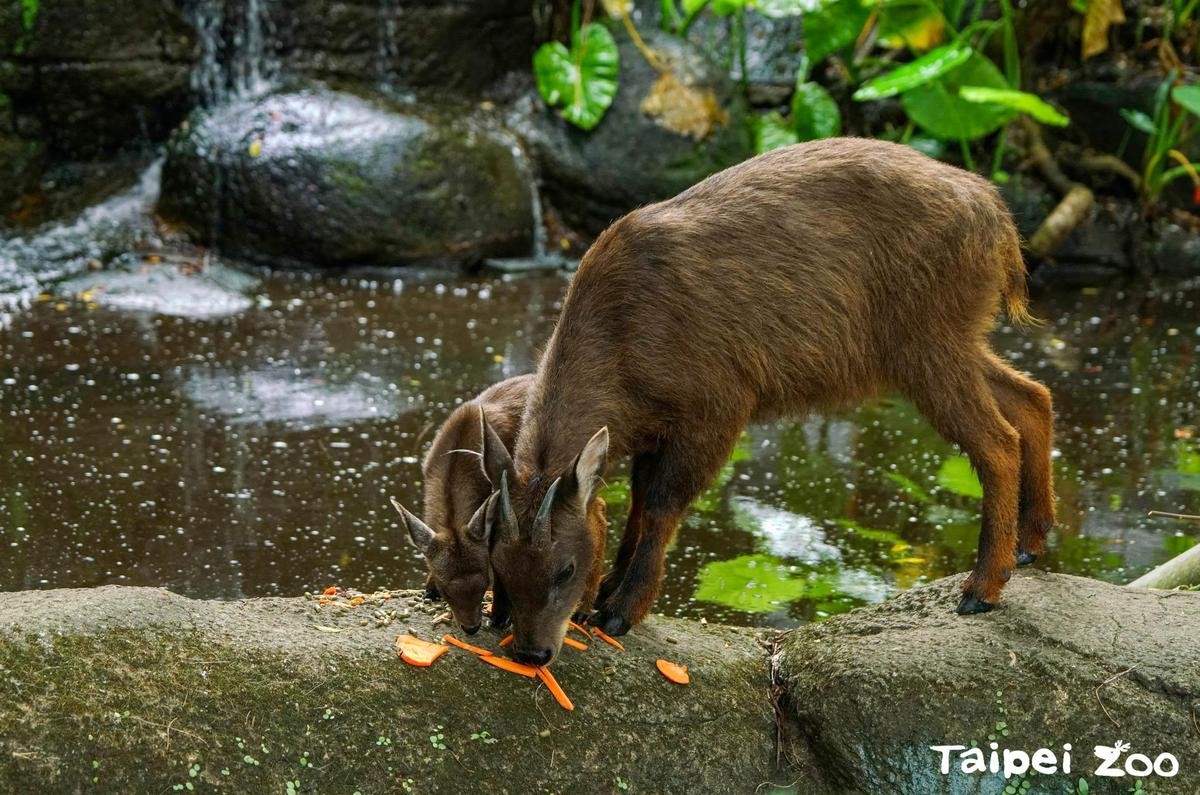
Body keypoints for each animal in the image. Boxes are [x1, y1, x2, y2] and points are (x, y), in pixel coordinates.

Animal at [475, 138, 1051, 667]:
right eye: (498, 564)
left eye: (565, 568)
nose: (530, 652)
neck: (622, 344)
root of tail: (997, 216)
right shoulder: (653, 430)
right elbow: (635, 504)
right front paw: (612, 591)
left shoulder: (718, 407)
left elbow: (662, 506)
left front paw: (619, 611)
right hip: (951, 341)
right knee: (1032, 396)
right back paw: (1031, 543)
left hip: (929, 345)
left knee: (997, 440)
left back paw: (980, 589)